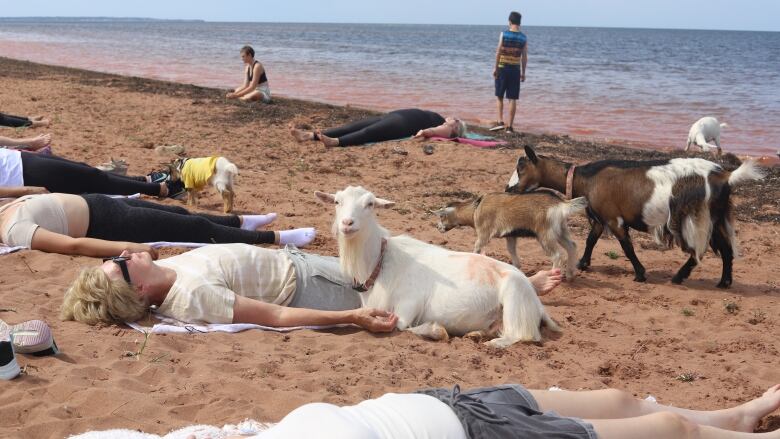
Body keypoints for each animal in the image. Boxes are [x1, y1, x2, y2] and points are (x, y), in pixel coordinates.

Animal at [314, 186, 556, 348]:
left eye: (370, 204)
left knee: (522, 336)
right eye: (337, 202)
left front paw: (435, 330)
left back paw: (493, 343)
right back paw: (476, 334)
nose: (347, 223)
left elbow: (402, 327)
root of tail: (536, 302)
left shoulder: (407, 306)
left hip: (515, 299)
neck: (380, 263)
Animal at [432, 192, 584, 278]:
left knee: (557, 255)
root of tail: (562, 205)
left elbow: (476, 248)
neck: (476, 209)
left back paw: (554, 276)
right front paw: (517, 268)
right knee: (572, 246)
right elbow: (511, 250)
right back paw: (570, 274)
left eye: (442, 216)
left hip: (545, 233)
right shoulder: (510, 235)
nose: (438, 228)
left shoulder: (484, 233)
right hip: (560, 230)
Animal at [502, 145, 764, 288]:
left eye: (521, 168)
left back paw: (679, 276)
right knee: (726, 250)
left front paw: (640, 274)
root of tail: (725, 177)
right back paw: (724, 282)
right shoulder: (601, 218)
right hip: (716, 218)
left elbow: (626, 247)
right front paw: (583, 264)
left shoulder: (614, 219)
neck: (587, 178)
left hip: (696, 218)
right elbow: (591, 240)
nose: (508, 189)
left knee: (698, 251)